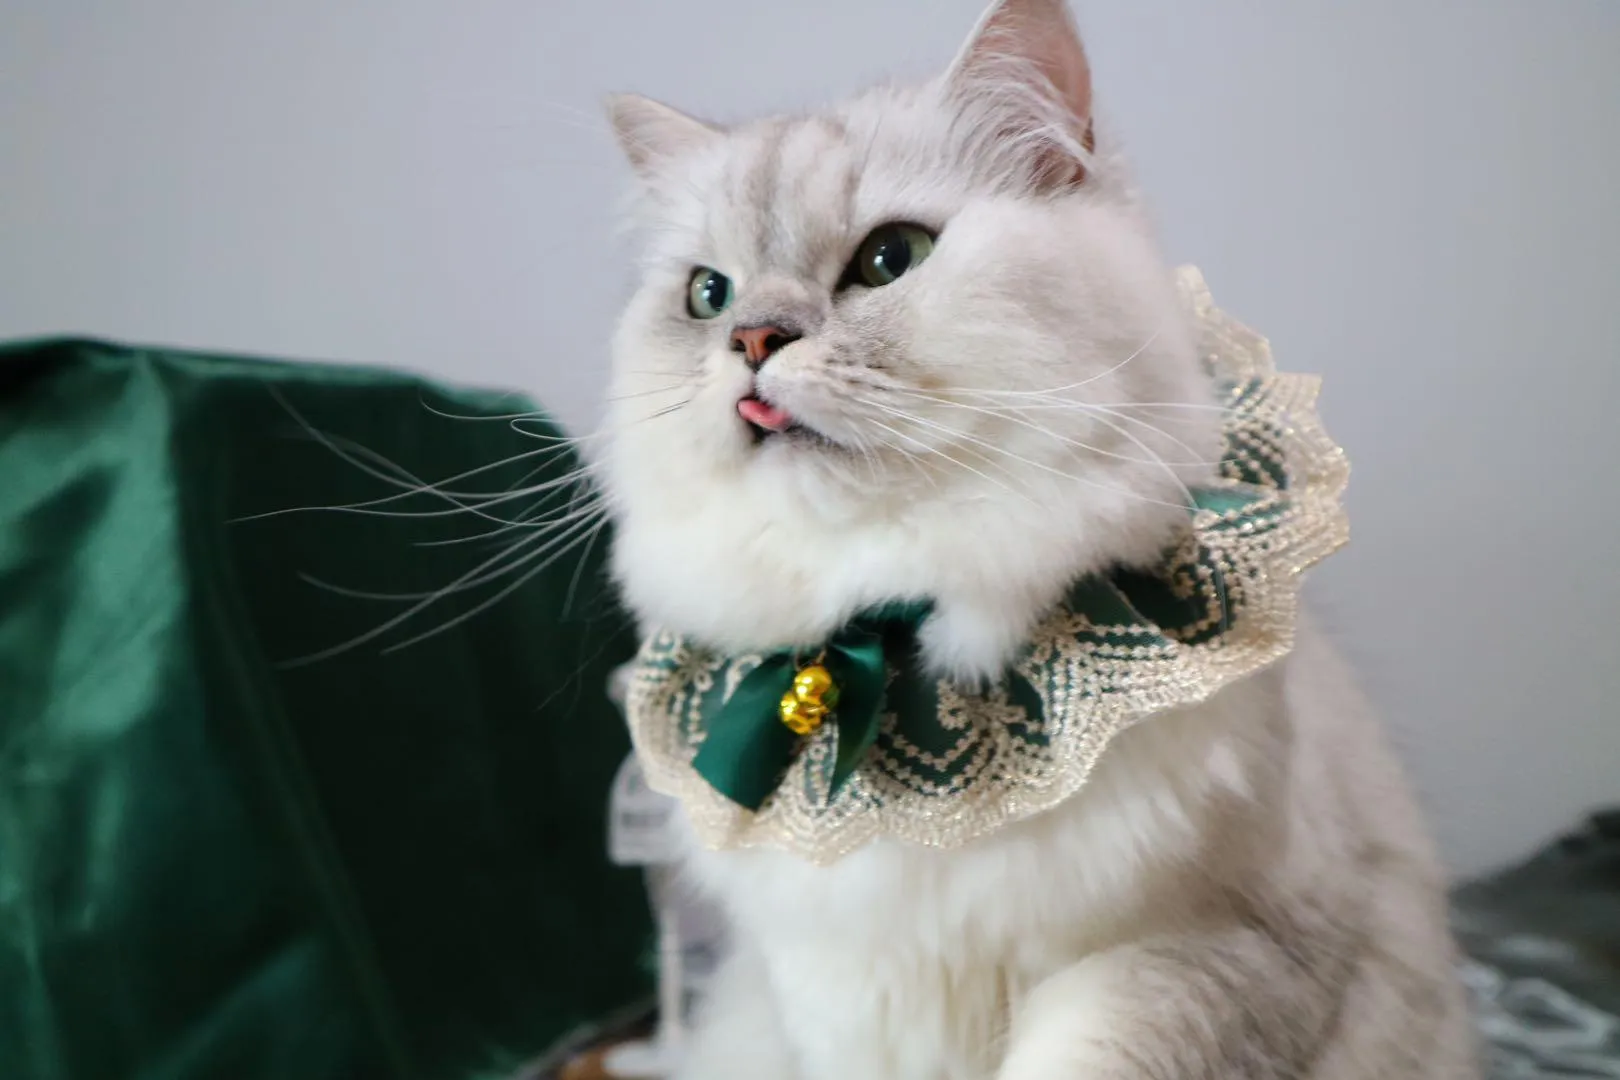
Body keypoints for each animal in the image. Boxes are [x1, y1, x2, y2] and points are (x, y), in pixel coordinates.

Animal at [599, 2, 1483, 1080]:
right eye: (708, 297)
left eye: (890, 259)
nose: (753, 342)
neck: (896, 657)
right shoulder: (832, 1001)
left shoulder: (1194, 958)